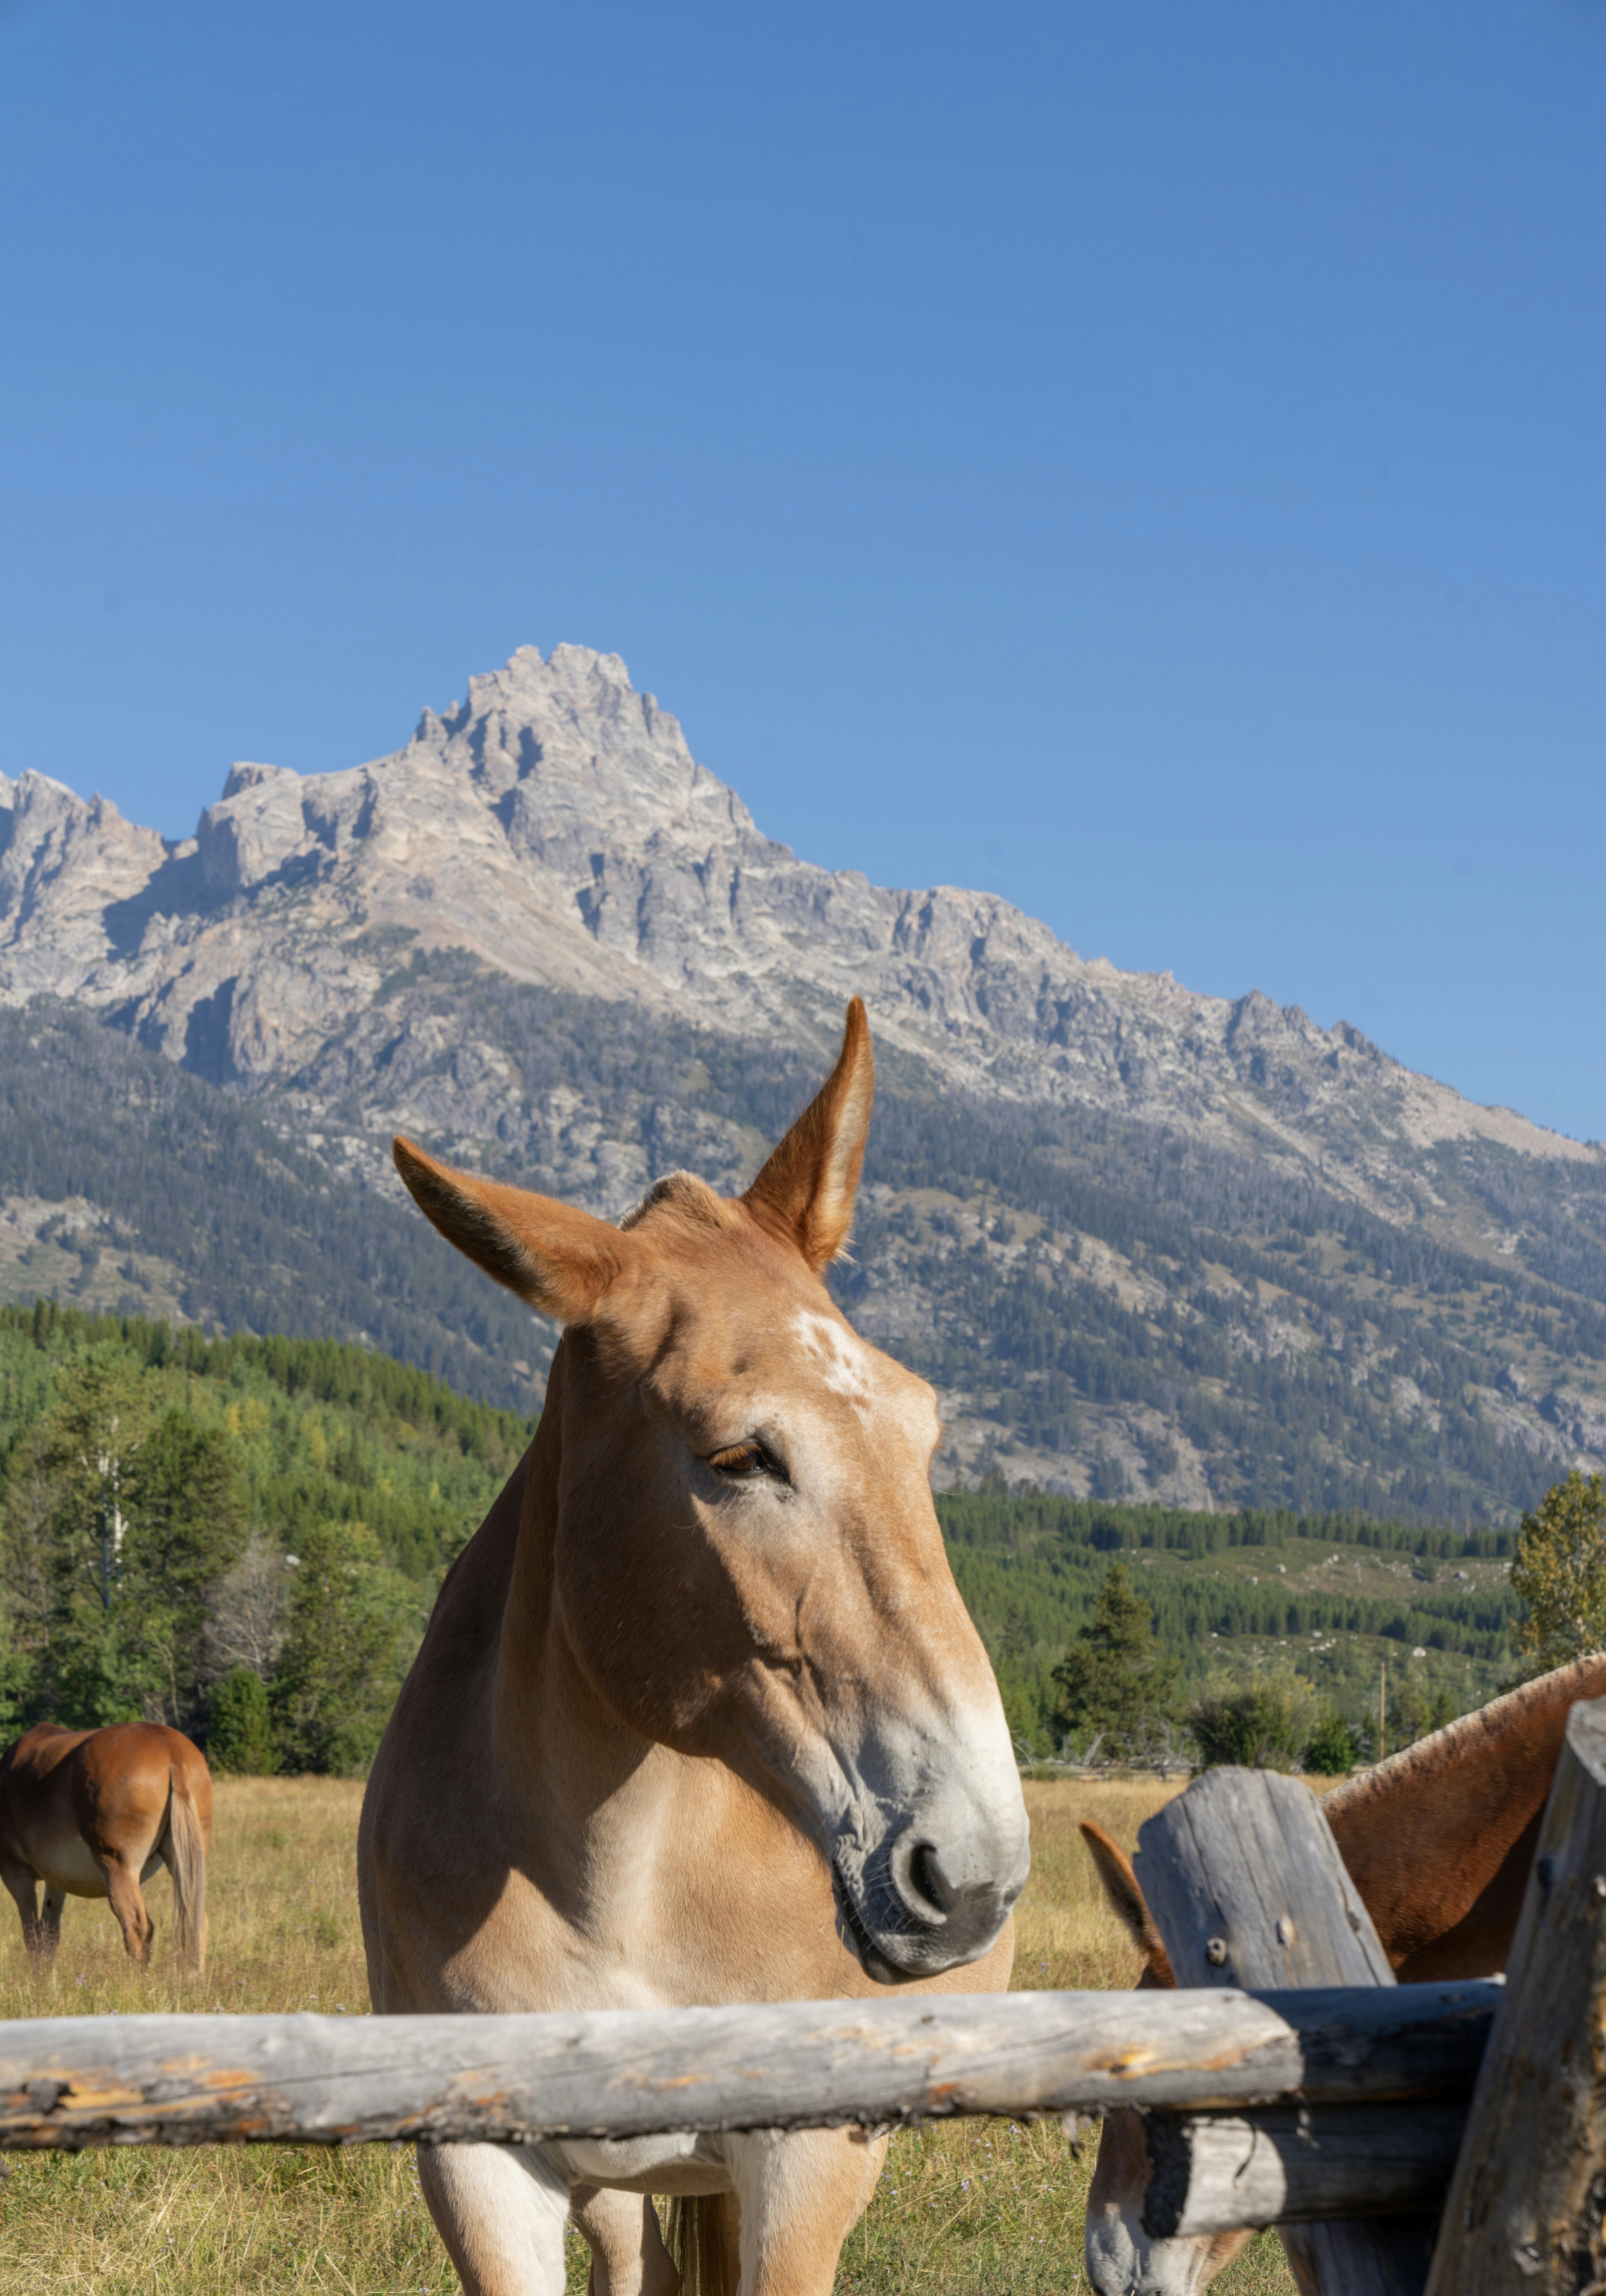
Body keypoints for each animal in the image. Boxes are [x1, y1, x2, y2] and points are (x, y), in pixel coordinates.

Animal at [0, 1720, 212, 1972]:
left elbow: (33, 1936)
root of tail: (172, 1750)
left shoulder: (16, 1873)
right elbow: (50, 1936)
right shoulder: (57, 1880)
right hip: (184, 1862)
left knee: (137, 1927)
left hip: (118, 1867)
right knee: (197, 1921)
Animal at [358, 996, 1031, 2296]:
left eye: (924, 1428)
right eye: (738, 1455)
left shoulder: (806, 2161)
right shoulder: (480, 2169)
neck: (615, 1879)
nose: (967, 1870)